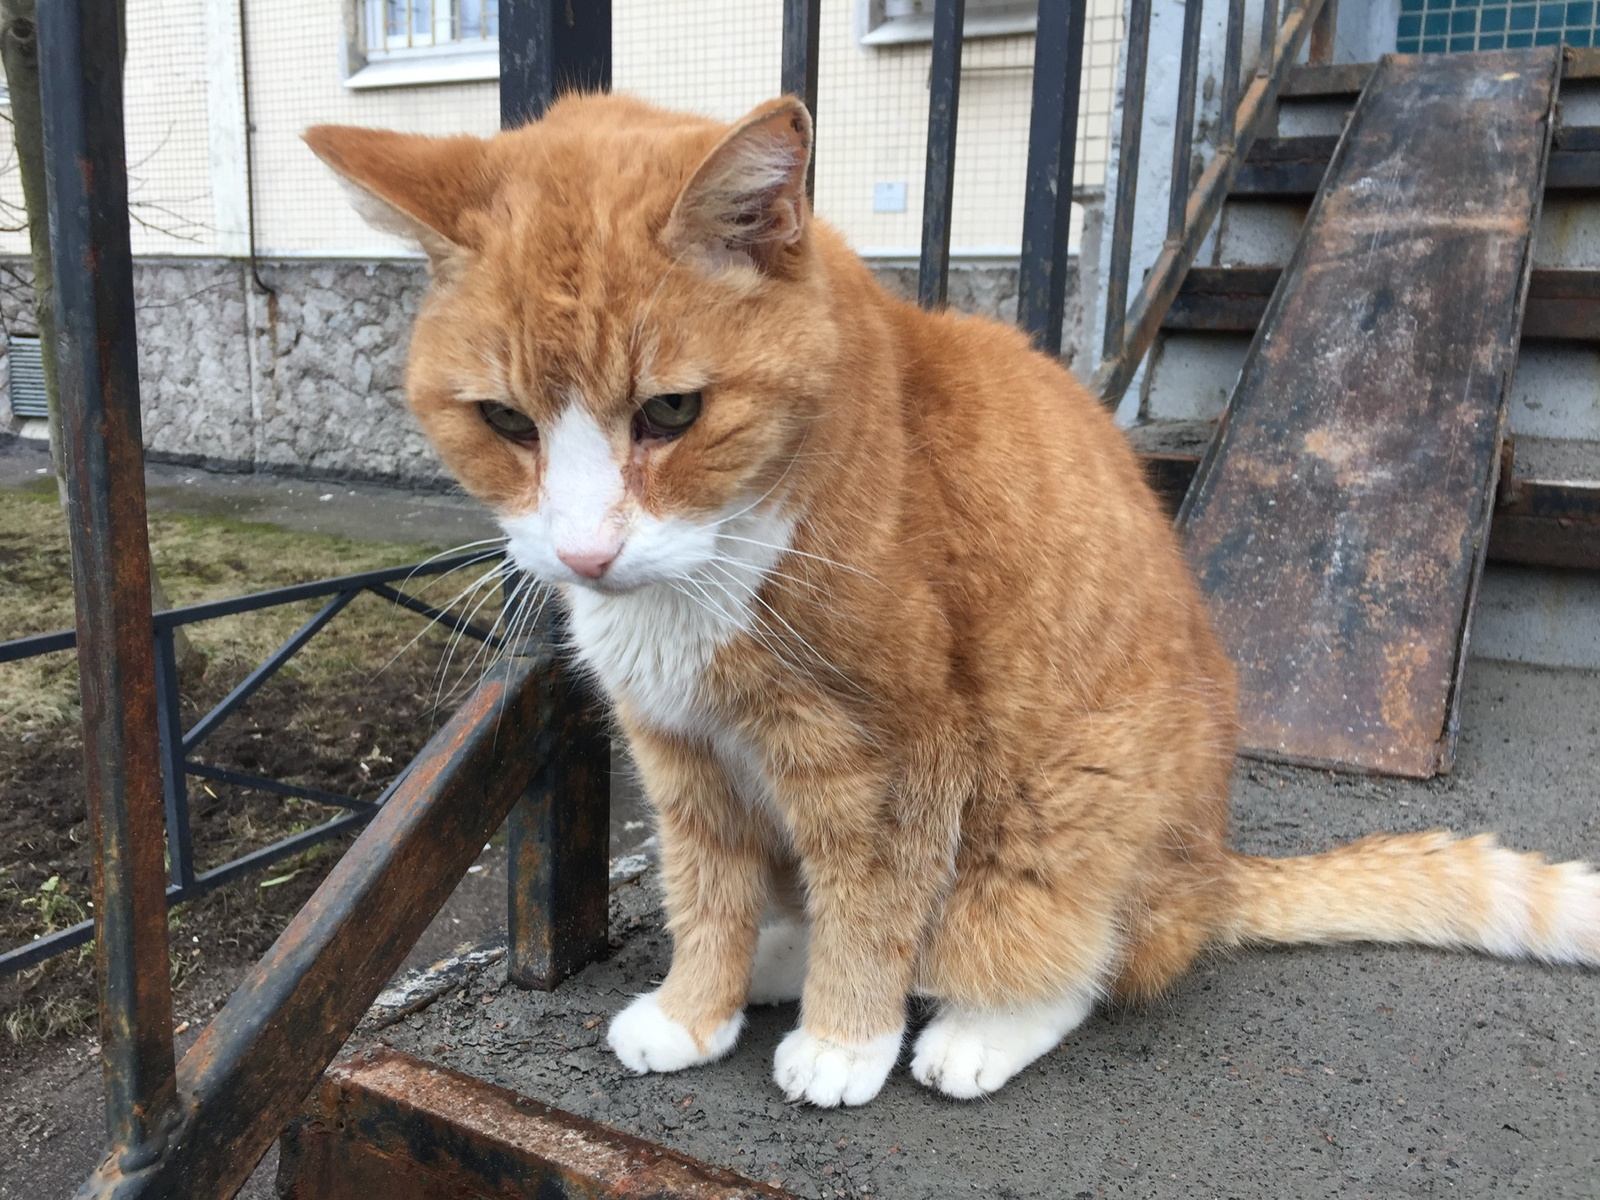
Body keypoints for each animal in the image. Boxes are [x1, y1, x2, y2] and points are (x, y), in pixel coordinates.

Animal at [305, 91, 1593, 1107]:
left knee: (1076, 957)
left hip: (1068, 804)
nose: (583, 555)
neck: (712, 569)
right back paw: (780, 959)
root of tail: (1212, 866)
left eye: (672, 413)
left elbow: (876, 903)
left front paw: (843, 1041)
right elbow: (708, 892)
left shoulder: (896, 752)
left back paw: (968, 1028)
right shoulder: (684, 756)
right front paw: (694, 1009)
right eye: (505, 422)